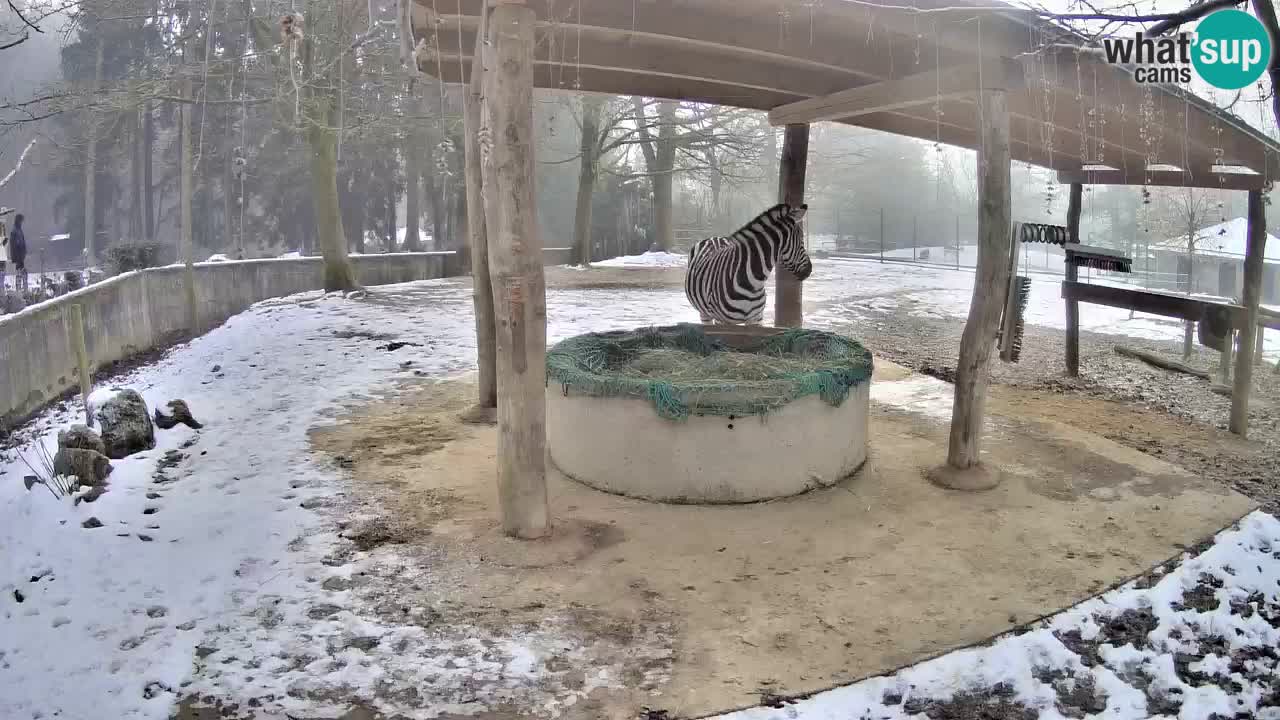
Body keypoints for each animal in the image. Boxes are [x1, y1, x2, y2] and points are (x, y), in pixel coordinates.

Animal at [680, 203, 808, 324]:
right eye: (802, 242)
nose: (809, 270)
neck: (753, 285)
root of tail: (713, 237)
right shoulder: (722, 320)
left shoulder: (757, 318)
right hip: (705, 314)